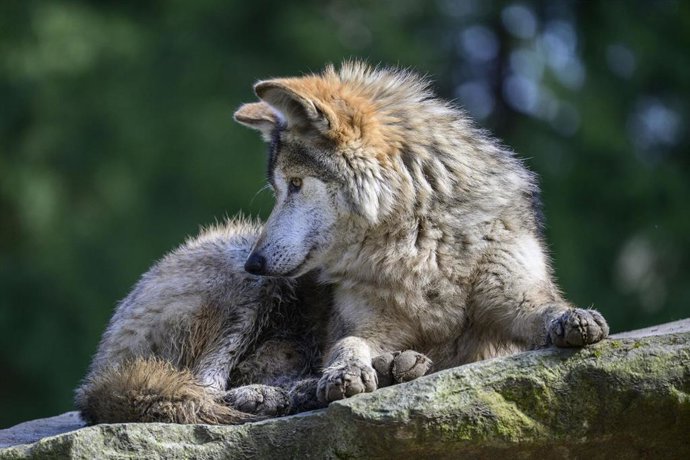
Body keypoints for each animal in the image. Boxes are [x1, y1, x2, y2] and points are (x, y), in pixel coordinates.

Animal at [234, 61, 609, 403]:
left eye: (296, 184)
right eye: (278, 189)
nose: (253, 264)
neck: (420, 244)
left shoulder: (517, 297)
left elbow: (547, 307)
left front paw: (574, 318)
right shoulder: (362, 325)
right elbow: (347, 342)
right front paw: (345, 371)